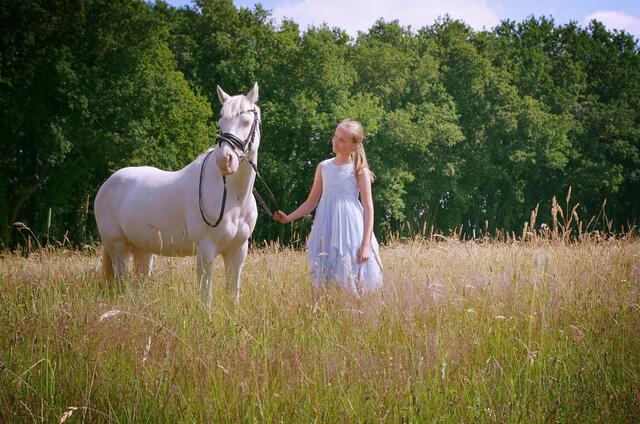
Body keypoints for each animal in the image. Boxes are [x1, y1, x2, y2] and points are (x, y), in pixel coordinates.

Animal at [94, 83, 262, 304]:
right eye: (220, 124)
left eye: (247, 122)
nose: (225, 161)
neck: (233, 199)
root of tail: (107, 184)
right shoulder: (206, 250)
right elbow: (205, 296)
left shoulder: (237, 251)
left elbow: (233, 294)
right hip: (118, 247)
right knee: (123, 282)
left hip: (142, 249)